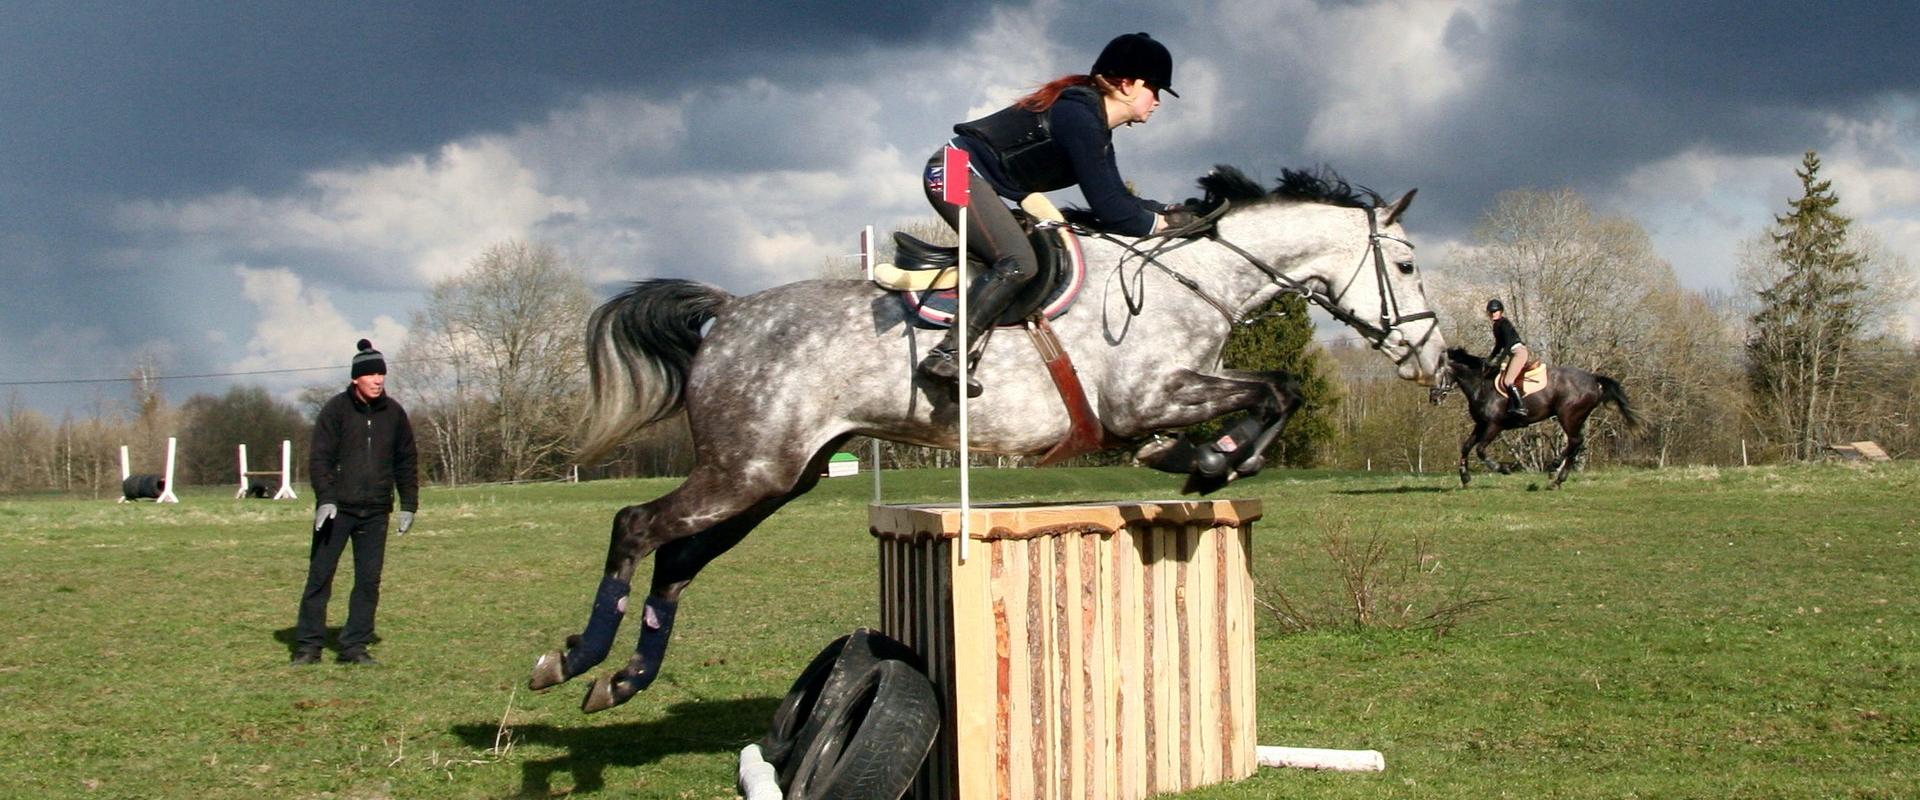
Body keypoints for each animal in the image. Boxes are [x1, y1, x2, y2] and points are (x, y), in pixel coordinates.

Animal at [533, 164, 1443, 705]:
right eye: (1404, 268)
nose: (1431, 359)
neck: (1193, 277)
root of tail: (728, 314)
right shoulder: (1147, 396)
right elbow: (1276, 390)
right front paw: (1207, 461)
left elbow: (1273, 391)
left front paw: (1203, 460)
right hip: (746, 471)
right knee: (636, 527)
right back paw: (572, 660)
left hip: (776, 477)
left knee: (678, 560)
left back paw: (621, 680)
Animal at [1436, 347, 1643, 487]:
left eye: (1437, 374)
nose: (1433, 398)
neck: (1481, 386)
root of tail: (1593, 378)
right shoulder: (1480, 424)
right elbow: (1466, 447)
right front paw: (1464, 477)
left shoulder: (1494, 425)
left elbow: (1479, 449)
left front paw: (1502, 469)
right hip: (1576, 418)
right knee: (1577, 443)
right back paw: (1558, 479)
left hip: (1568, 415)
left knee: (1575, 441)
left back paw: (1554, 469)